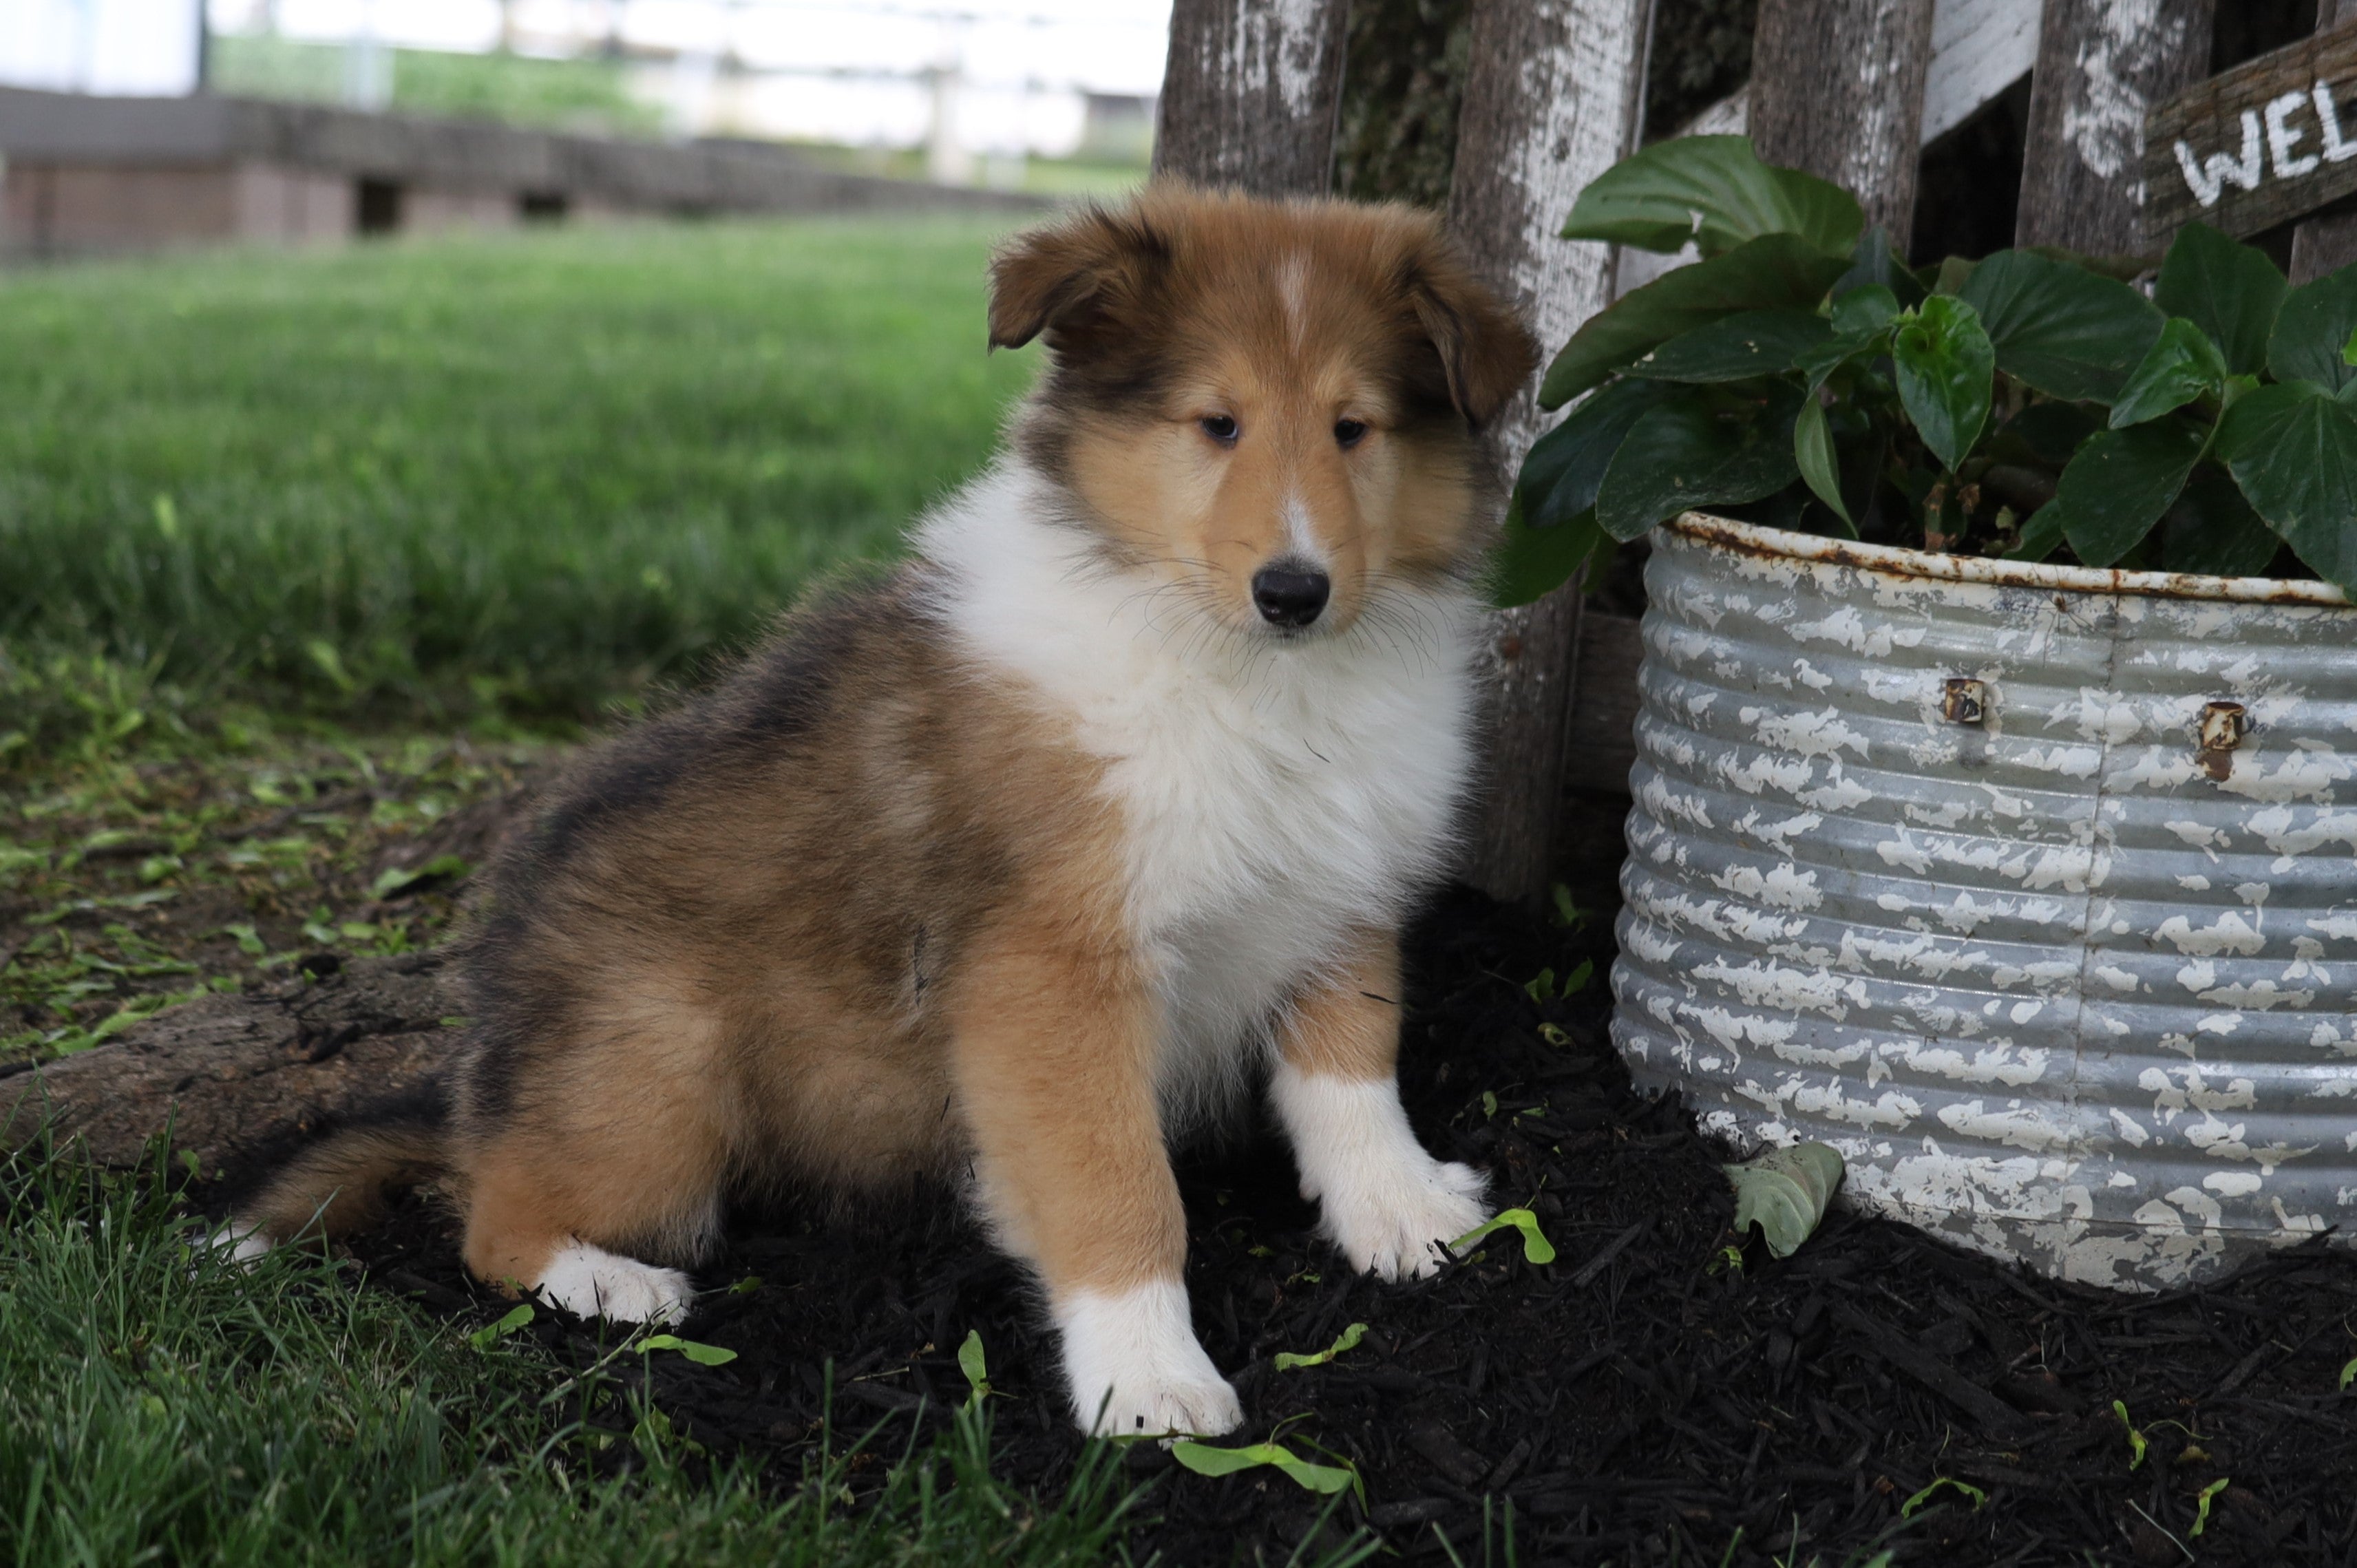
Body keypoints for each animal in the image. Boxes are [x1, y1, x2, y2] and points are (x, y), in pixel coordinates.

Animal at [229, 189, 1536, 1433]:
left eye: (1353, 427)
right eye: (1215, 423)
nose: (1293, 591)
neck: (1244, 670)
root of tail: (475, 1078)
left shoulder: (1334, 888)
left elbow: (1351, 1071)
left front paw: (1402, 1211)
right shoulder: (1051, 972)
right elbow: (1116, 1181)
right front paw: (1147, 1383)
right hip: (658, 1065)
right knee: (492, 1217)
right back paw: (614, 1283)